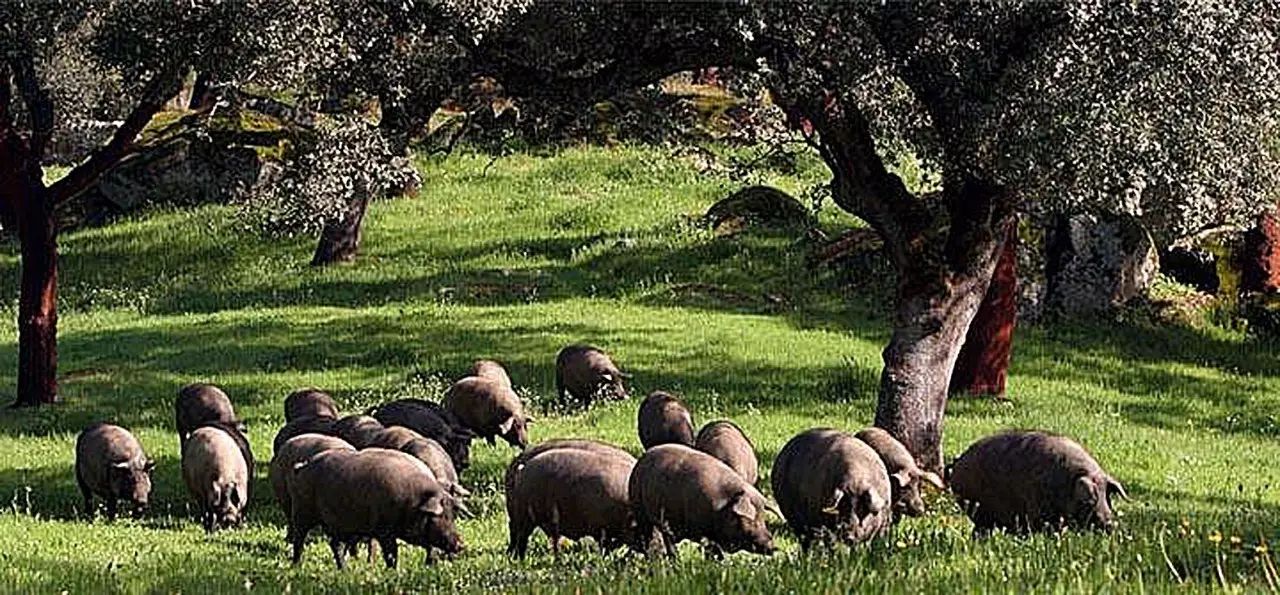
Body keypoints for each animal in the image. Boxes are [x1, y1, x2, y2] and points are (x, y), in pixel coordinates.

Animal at [289, 447, 465, 568]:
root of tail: (302, 466)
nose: (461, 544)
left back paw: (344, 570)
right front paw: (392, 571)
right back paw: (296, 566)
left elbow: (431, 549)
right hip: (302, 511)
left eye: (452, 515)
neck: (412, 502)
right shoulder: (384, 531)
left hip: (344, 524)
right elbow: (392, 554)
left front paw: (429, 566)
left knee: (336, 545)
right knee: (299, 539)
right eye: (441, 515)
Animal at [627, 442, 773, 555]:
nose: (773, 547)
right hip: (639, 507)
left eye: (763, 517)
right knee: (651, 535)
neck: (721, 508)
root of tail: (642, 459)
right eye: (752, 521)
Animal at [947, 427, 1126, 532]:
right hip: (977, 509)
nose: (1110, 524)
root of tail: (958, 461)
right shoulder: (1037, 511)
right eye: (1090, 500)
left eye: (1107, 497)